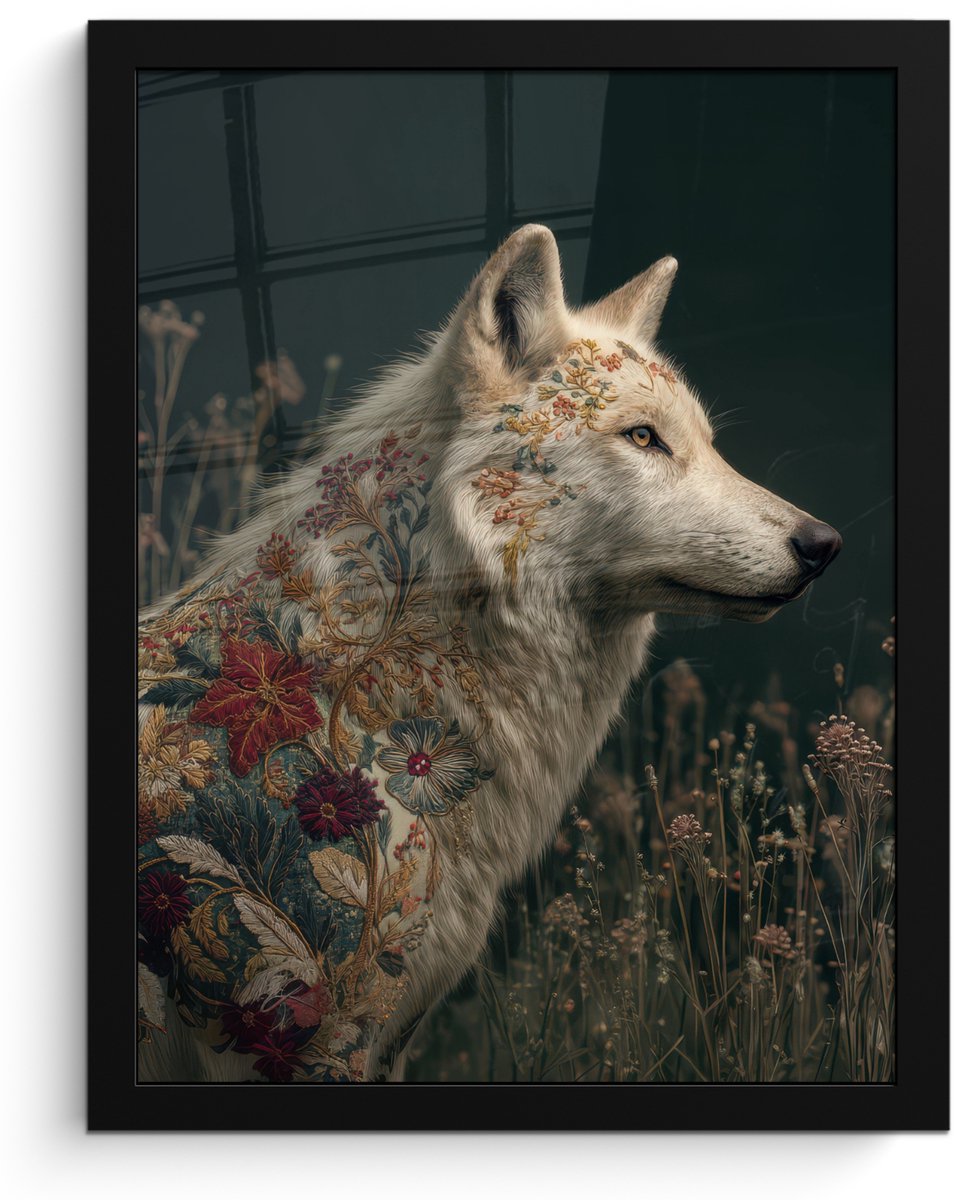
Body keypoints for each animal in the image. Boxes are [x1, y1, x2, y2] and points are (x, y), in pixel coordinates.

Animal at [136, 225, 841, 1084]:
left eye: (707, 444)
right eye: (643, 437)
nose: (822, 544)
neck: (351, 688)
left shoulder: (388, 1037)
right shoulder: (306, 1041)